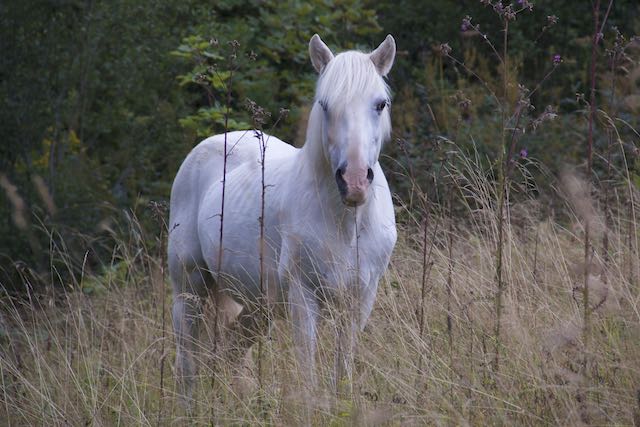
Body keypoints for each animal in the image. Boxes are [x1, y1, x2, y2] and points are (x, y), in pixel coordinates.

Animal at [168, 32, 398, 398]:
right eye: (325, 105)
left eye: (380, 104)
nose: (354, 182)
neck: (346, 224)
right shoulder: (303, 301)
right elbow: (308, 379)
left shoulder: (359, 301)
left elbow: (343, 375)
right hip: (189, 289)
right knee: (187, 365)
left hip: (257, 304)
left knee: (231, 350)